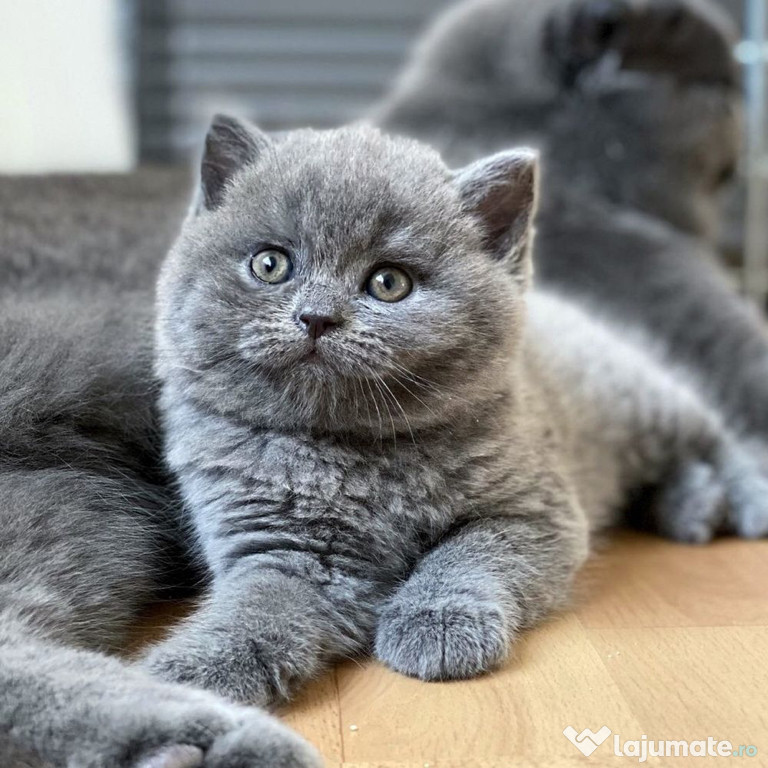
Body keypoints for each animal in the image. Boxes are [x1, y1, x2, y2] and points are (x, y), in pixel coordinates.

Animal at [144, 115, 768, 704]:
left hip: (640, 400)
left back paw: (743, 500)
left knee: (714, 437)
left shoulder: (534, 510)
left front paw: (437, 623)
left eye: (388, 282)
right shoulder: (282, 545)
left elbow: (468, 551)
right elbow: (260, 606)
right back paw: (692, 507)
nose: (317, 316)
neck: (353, 449)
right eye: (270, 264)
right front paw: (192, 673)